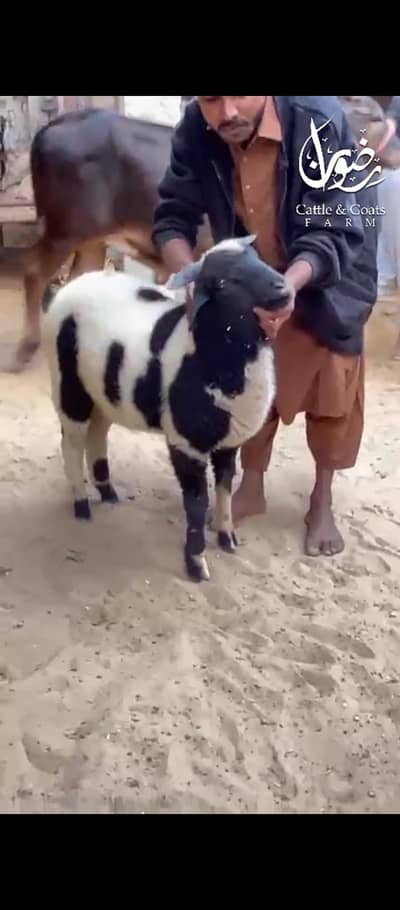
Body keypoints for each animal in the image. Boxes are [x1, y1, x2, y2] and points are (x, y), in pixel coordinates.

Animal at [42, 235, 290, 581]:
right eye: (225, 282)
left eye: (258, 256)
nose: (283, 288)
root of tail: (71, 285)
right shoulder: (186, 443)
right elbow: (197, 504)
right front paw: (196, 563)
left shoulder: (228, 441)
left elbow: (225, 488)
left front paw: (226, 537)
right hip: (68, 386)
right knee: (72, 443)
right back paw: (81, 503)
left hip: (104, 391)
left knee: (97, 434)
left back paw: (107, 490)